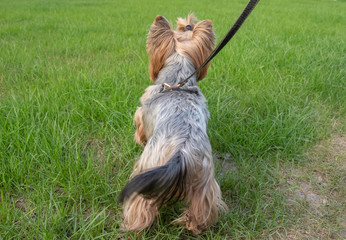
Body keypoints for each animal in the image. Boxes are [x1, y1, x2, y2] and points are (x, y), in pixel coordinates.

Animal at [119, 13, 227, 234]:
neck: (178, 81)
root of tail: (180, 154)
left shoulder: (143, 112)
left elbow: (139, 123)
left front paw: (138, 139)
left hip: (146, 169)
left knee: (140, 206)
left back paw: (133, 225)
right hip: (204, 180)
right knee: (203, 206)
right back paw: (194, 225)